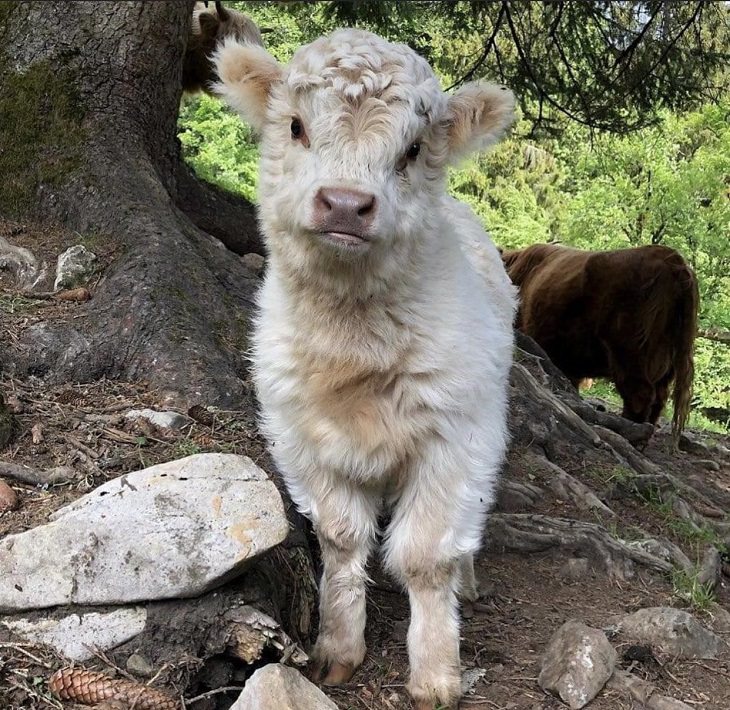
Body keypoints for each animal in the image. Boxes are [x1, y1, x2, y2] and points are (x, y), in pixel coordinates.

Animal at [213, 29, 516, 710]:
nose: (346, 205)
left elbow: (427, 556)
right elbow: (340, 539)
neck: (354, 352)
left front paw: (435, 676)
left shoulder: (456, 437)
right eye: (295, 126)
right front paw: (337, 649)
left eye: (413, 148)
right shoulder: (301, 437)